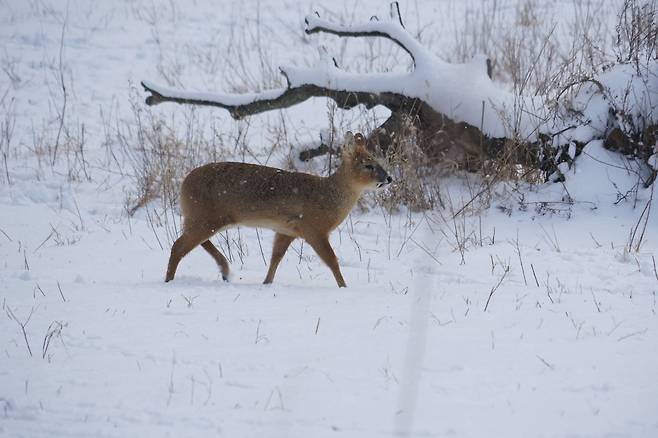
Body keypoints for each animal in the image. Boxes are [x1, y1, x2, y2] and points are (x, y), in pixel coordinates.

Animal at [165, 132, 390, 286]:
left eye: (379, 161)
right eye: (368, 165)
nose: (389, 178)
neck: (329, 196)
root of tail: (184, 183)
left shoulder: (286, 230)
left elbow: (276, 258)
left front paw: (266, 283)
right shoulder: (313, 228)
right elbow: (332, 260)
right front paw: (344, 286)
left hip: (204, 218)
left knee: (193, 242)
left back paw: (226, 271)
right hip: (205, 217)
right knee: (178, 246)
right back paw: (169, 280)